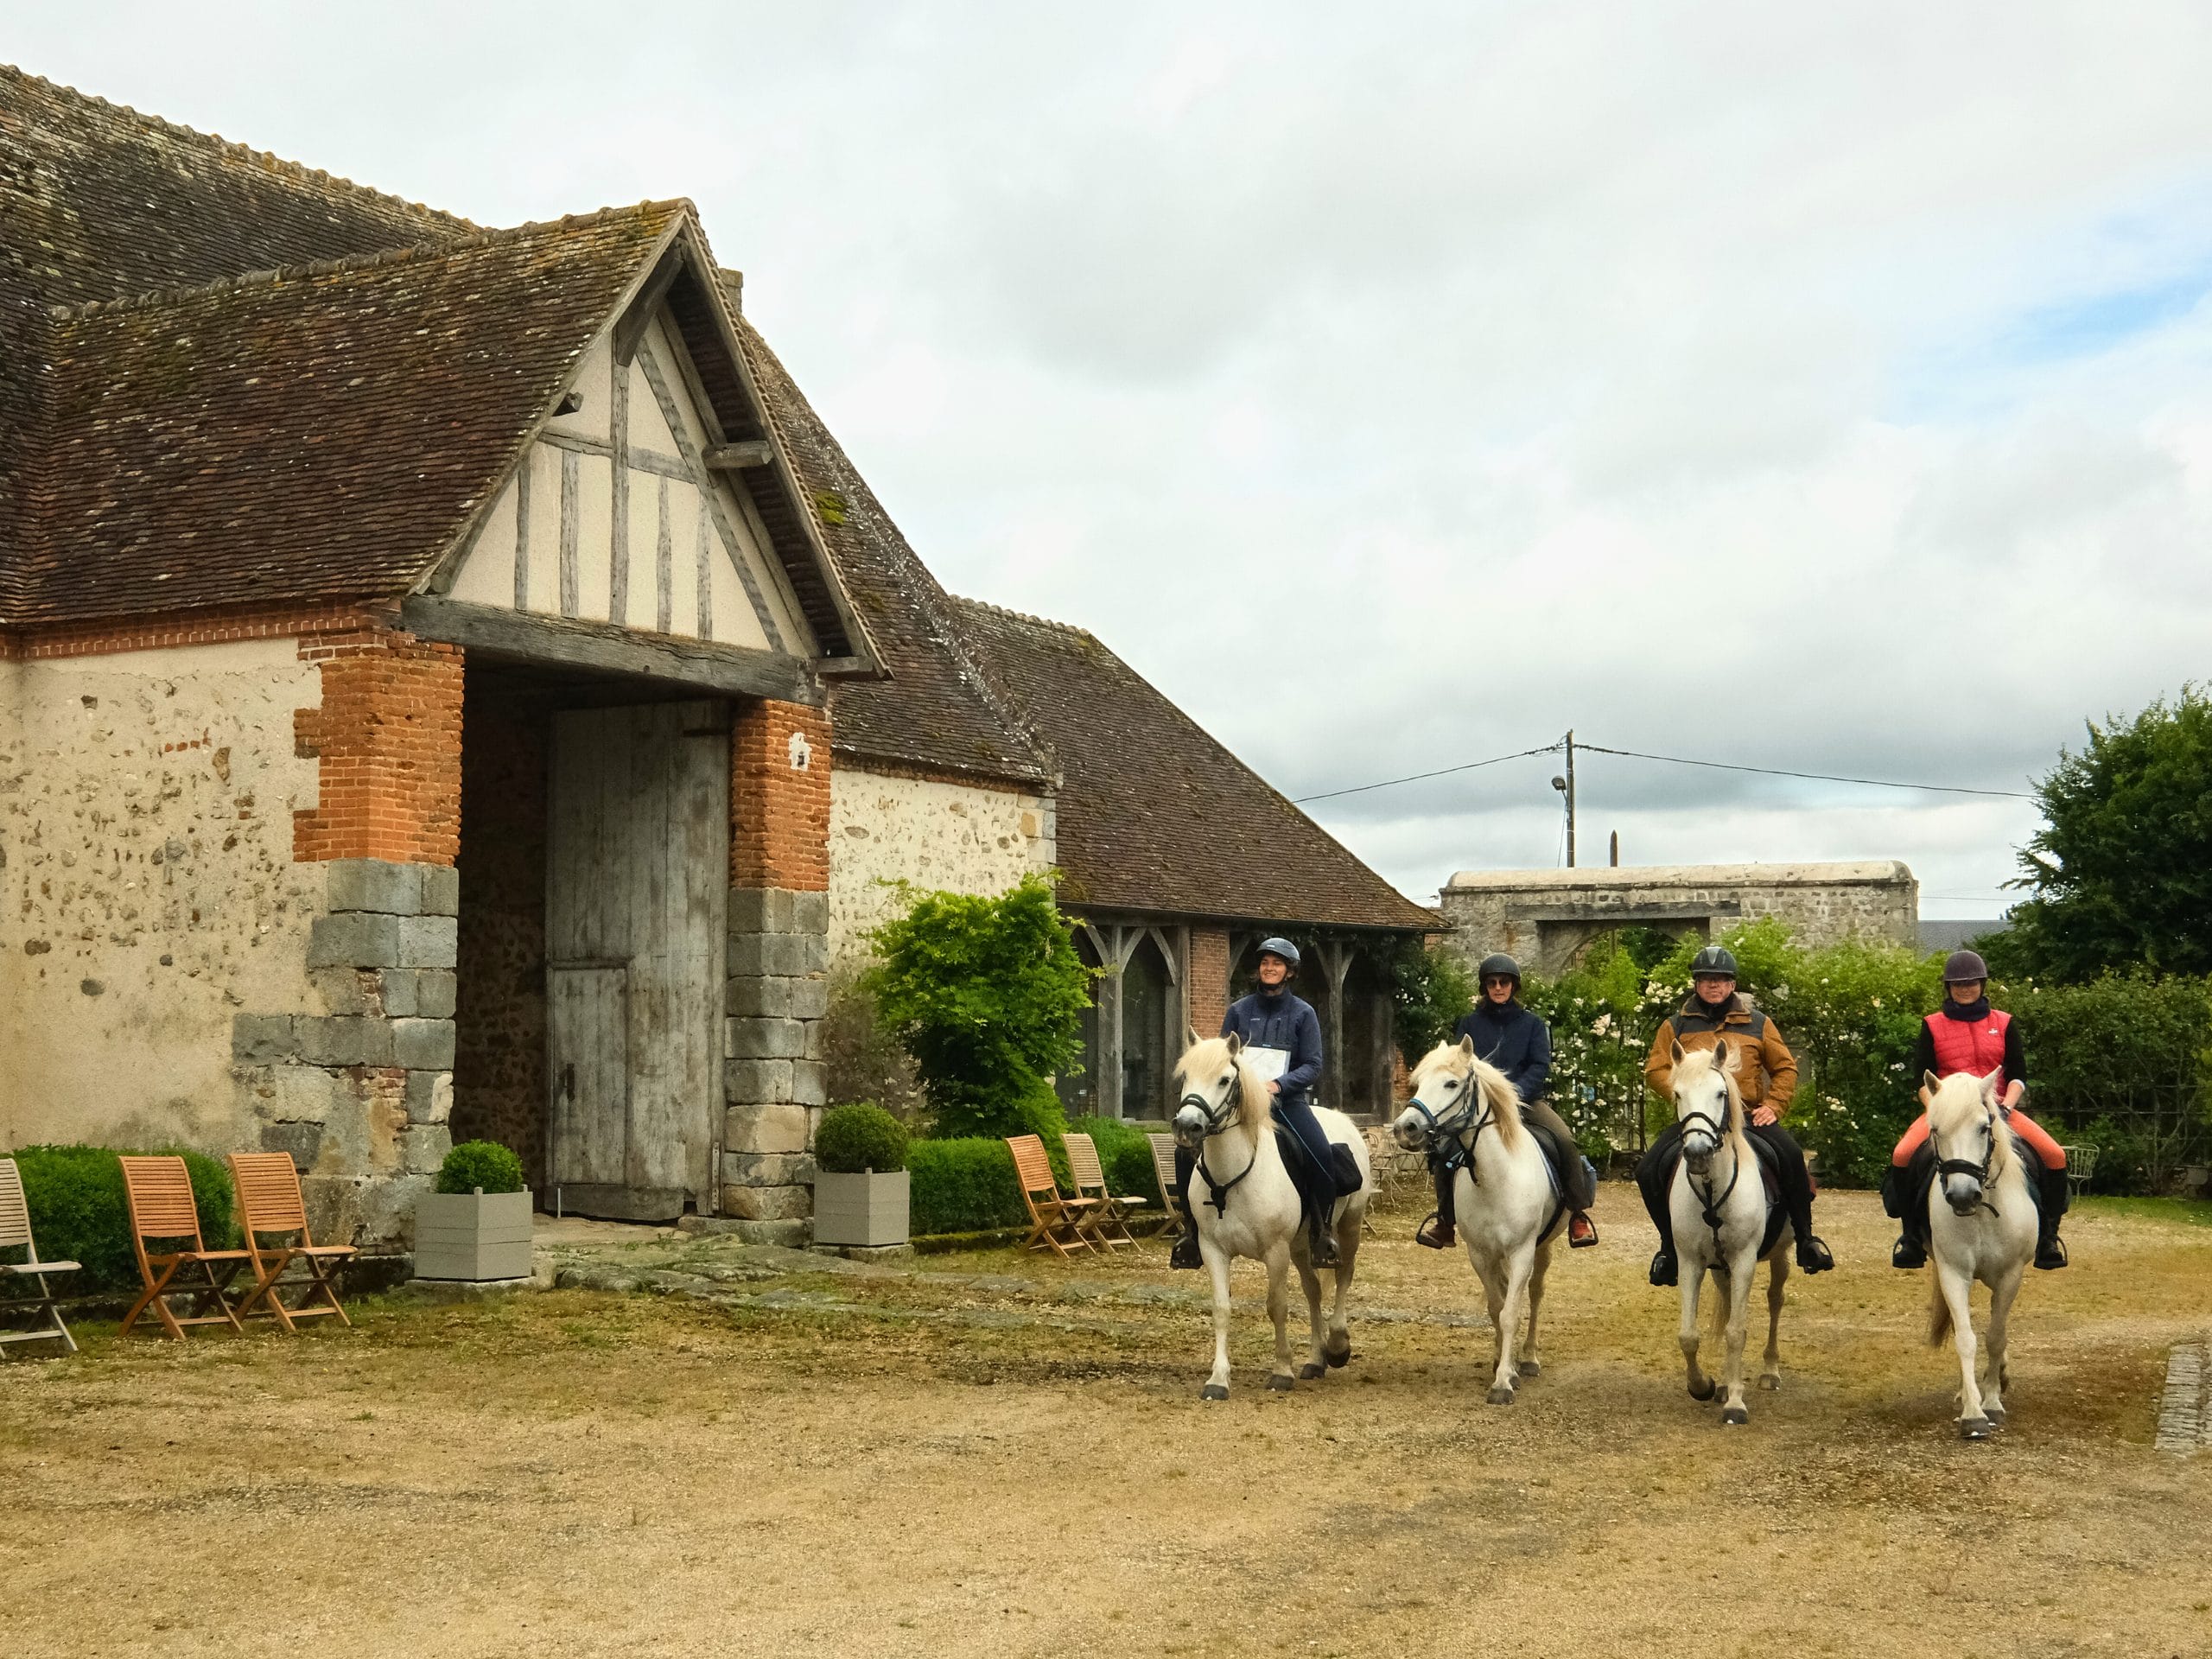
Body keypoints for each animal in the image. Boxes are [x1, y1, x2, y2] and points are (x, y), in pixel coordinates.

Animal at [1167, 1039, 1371, 1407]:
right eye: (1186, 1076)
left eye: (1224, 1080)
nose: (1188, 1127)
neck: (1231, 1178)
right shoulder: (1213, 1249)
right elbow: (1222, 1309)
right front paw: (1218, 1380)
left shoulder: (1275, 1251)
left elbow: (1277, 1306)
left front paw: (1281, 1372)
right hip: (1301, 1246)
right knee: (1313, 1290)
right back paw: (1316, 1360)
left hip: (1349, 1226)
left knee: (1343, 1276)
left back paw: (1337, 1347)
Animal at [1389, 1039, 1566, 1407]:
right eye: (1418, 1082)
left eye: (1451, 1084)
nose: (1405, 1129)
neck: (1495, 1179)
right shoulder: (1480, 1255)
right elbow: (1497, 1308)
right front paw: (1502, 1367)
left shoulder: (1522, 1251)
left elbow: (1511, 1312)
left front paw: (1502, 1385)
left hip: (1543, 1247)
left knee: (1535, 1293)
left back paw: (1529, 1358)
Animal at [1663, 1052, 1787, 1433]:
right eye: (1677, 1094)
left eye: (1721, 1094)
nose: (1698, 1152)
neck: (1711, 1188)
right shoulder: (1690, 1261)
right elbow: (1688, 1335)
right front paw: (1703, 1385)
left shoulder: (1744, 1259)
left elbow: (1736, 1332)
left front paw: (1735, 1403)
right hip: (1721, 1269)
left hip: (1781, 1254)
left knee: (1775, 1300)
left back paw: (1770, 1370)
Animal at [1920, 1065, 2035, 1442]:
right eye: (1935, 1130)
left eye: (1984, 1127)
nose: (1961, 1196)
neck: (1982, 1211)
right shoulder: (1954, 1273)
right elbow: (1966, 1339)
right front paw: (1973, 1412)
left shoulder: (2011, 1274)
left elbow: (1996, 1337)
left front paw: (1993, 1402)